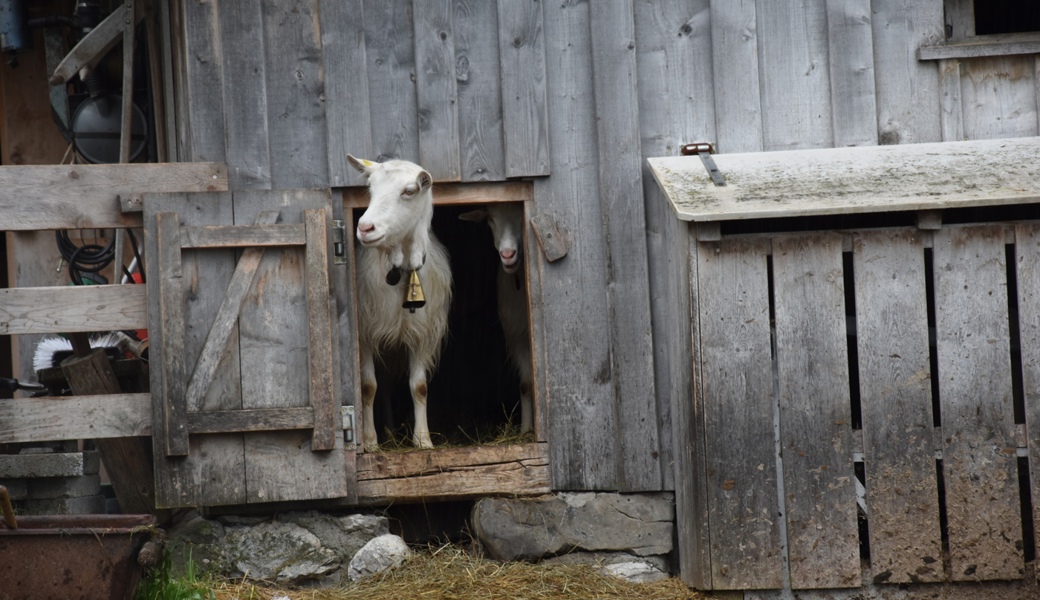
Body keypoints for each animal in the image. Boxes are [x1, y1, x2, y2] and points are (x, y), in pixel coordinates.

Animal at [349, 153, 451, 449]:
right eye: (370, 188)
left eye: (409, 191)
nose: (365, 228)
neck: (401, 268)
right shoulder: (366, 334)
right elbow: (368, 387)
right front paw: (370, 442)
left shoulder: (423, 335)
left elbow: (419, 386)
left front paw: (423, 440)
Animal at [459, 203, 532, 432]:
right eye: (490, 219)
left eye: (521, 215)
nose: (508, 254)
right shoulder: (516, 335)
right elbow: (526, 384)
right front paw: (526, 430)